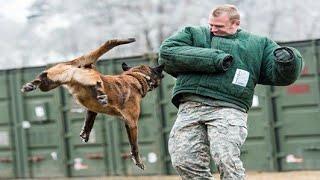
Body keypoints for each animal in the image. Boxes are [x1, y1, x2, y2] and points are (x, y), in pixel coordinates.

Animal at [20, 38, 164, 170]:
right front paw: (138, 161)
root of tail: (78, 65)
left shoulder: (92, 110)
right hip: (88, 77)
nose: (163, 75)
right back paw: (101, 93)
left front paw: (85, 133)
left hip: (52, 81)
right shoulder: (132, 123)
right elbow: (134, 146)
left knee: (42, 78)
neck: (135, 77)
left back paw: (31, 85)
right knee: (97, 82)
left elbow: (89, 121)